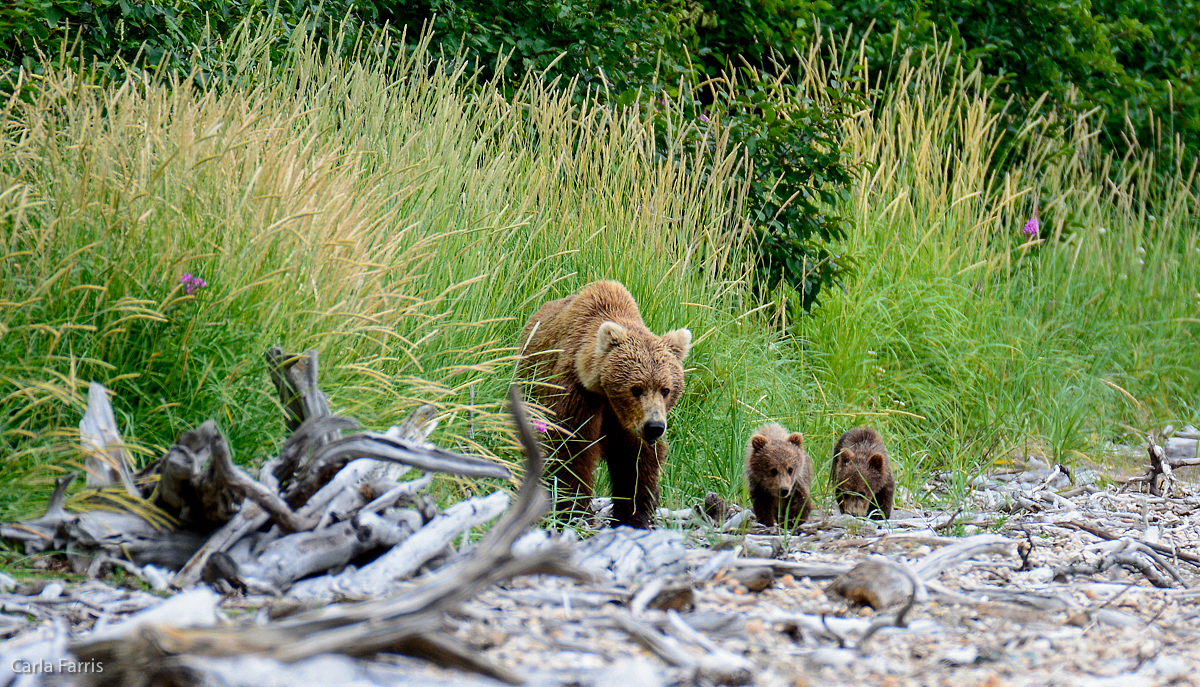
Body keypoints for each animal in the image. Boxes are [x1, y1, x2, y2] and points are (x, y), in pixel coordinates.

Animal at [518, 278, 696, 526]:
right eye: (636, 388)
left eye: (666, 389)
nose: (654, 427)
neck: (606, 396)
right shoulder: (579, 396)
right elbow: (572, 450)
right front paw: (575, 512)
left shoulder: (629, 421)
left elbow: (636, 462)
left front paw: (634, 515)